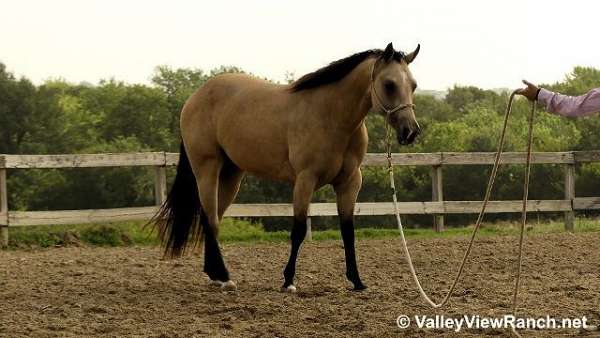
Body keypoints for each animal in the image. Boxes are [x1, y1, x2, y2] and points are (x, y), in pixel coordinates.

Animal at [151, 41, 422, 290]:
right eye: (389, 84)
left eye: (413, 85)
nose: (410, 132)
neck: (332, 117)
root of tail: (195, 97)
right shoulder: (305, 179)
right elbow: (299, 229)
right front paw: (288, 281)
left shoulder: (350, 182)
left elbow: (348, 231)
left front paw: (357, 281)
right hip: (207, 169)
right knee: (210, 218)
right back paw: (225, 277)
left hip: (231, 175)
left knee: (214, 219)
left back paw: (216, 275)